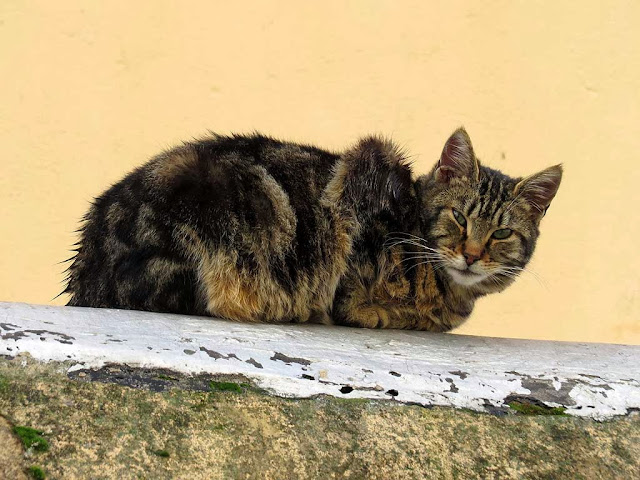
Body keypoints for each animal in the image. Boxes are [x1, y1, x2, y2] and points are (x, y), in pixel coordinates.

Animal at [65, 126, 564, 330]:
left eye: (501, 234)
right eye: (459, 217)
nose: (472, 254)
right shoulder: (362, 189)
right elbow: (353, 294)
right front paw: (383, 312)